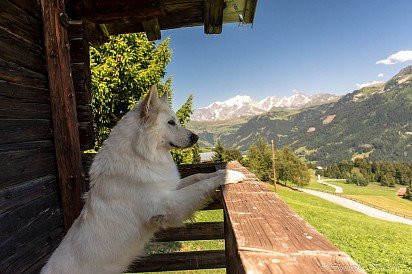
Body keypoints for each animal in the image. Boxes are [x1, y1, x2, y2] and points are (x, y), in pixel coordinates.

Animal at [41, 86, 245, 274]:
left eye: (177, 121)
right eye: (171, 122)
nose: (196, 137)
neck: (140, 155)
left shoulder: (171, 188)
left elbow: (199, 177)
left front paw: (223, 171)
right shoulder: (166, 204)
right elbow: (200, 185)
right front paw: (230, 176)